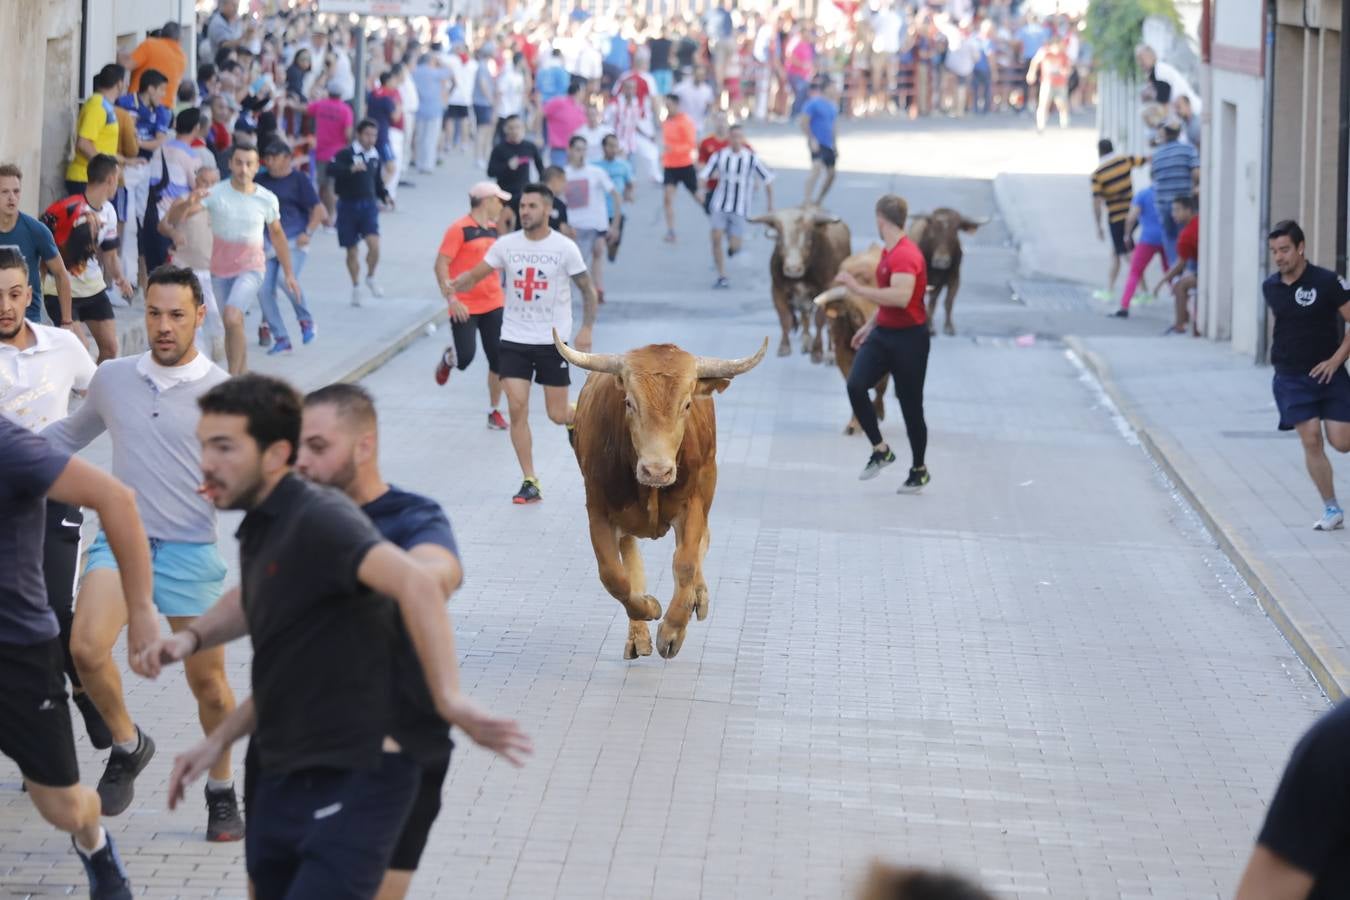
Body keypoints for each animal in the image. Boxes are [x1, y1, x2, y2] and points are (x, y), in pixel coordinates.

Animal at [912, 207, 988, 337]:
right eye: (933, 229)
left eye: (955, 229)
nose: (941, 260)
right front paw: (930, 328)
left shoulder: (953, 280)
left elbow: (947, 302)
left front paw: (949, 328)